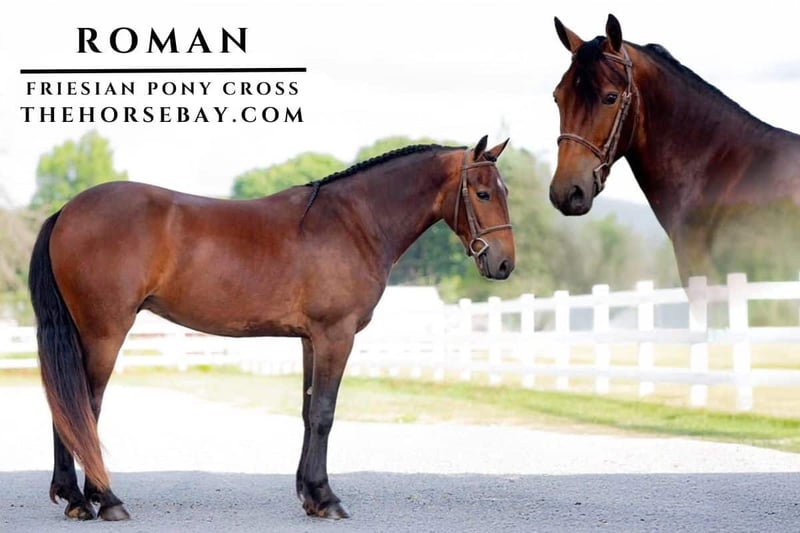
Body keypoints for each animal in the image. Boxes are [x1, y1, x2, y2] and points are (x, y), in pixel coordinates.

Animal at [28, 136, 515, 521]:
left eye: (503, 190)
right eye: (483, 193)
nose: (504, 263)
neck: (352, 222)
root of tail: (67, 211)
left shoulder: (310, 340)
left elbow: (307, 411)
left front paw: (310, 495)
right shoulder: (336, 335)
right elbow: (324, 414)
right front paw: (328, 499)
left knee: (64, 407)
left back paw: (74, 499)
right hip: (104, 332)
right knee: (84, 407)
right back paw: (106, 500)